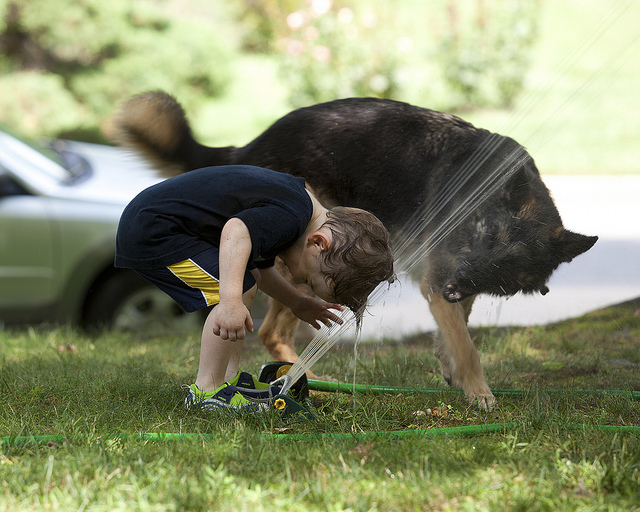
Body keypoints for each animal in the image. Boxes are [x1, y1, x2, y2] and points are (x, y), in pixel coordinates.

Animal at [107, 92, 596, 410]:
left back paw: (297, 377)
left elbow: (458, 329)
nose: (454, 285)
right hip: (292, 251)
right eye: (485, 236)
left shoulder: (455, 282)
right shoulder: (440, 277)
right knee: (253, 321)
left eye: (507, 270)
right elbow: (467, 342)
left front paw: (452, 368)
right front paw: (480, 392)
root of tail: (247, 146)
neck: (499, 194)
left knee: (274, 329)